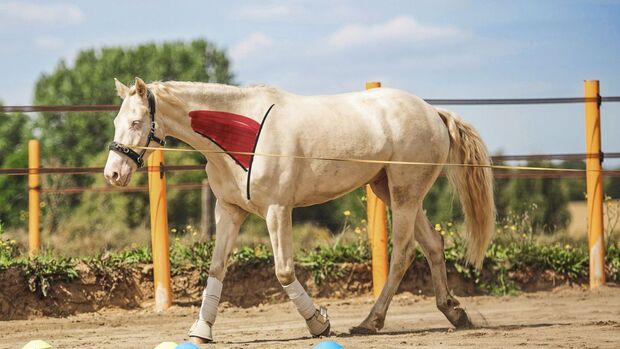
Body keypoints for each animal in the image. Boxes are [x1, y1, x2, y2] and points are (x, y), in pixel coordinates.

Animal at [104, 77, 496, 342]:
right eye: (116, 122)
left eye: (137, 122)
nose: (113, 174)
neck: (242, 135)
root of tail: (433, 111)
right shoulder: (229, 211)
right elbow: (216, 268)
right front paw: (201, 329)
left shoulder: (278, 210)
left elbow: (283, 271)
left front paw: (319, 323)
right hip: (389, 190)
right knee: (433, 245)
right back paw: (454, 312)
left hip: (404, 194)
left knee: (403, 253)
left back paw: (370, 322)